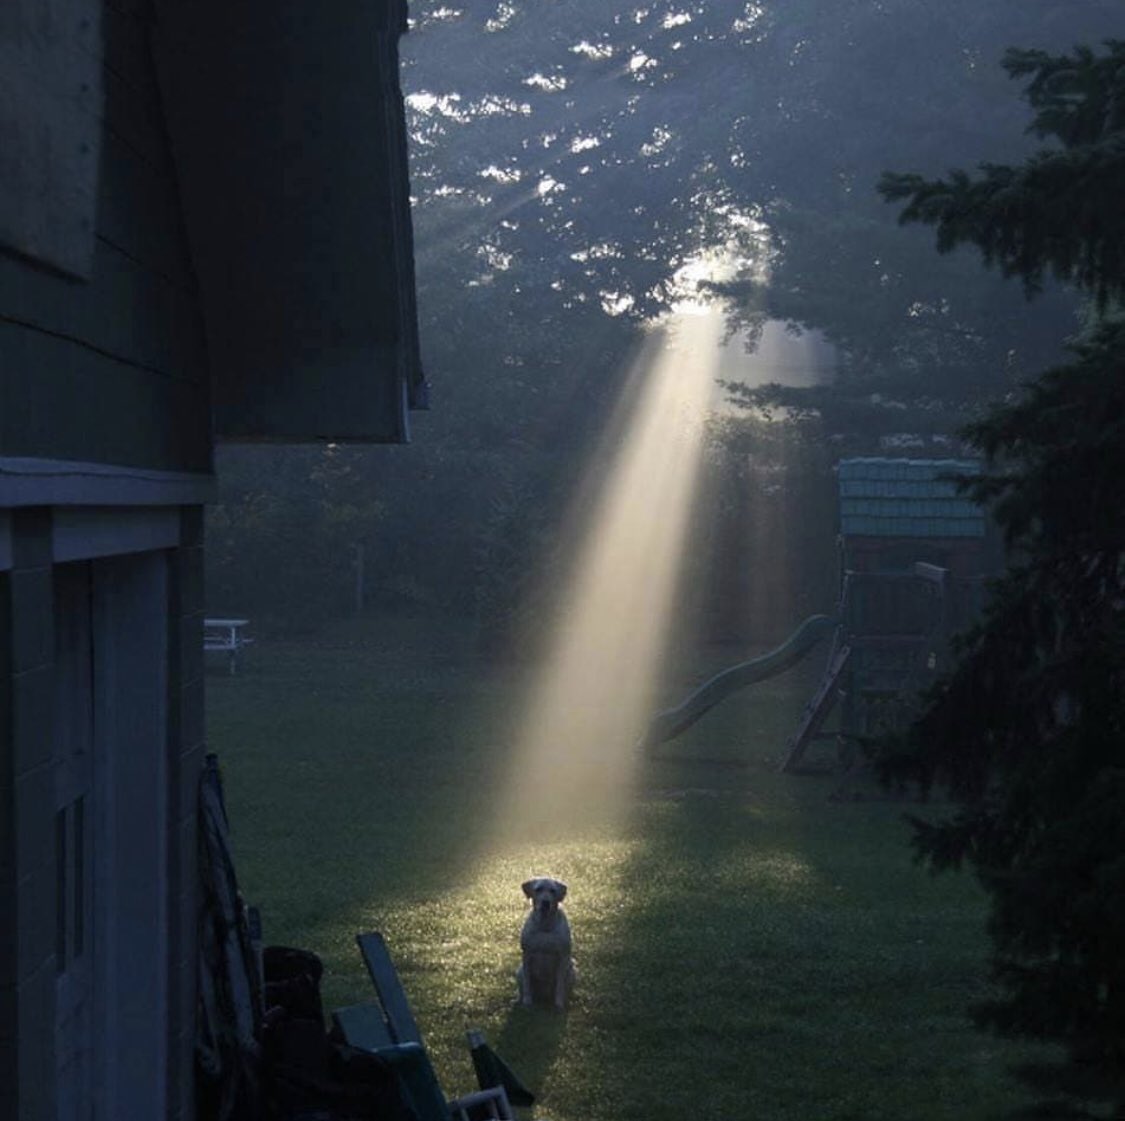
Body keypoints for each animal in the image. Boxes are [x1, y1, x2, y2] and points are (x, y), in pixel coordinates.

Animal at [515, 882, 576, 1012]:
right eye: (538, 889)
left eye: (553, 891)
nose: (546, 902)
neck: (545, 925)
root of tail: (544, 996)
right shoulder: (526, 955)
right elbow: (527, 984)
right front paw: (527, 1002)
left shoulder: (563, 957)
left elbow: (560, 985)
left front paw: (559, 1004)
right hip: (519, 972)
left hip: (572, 972)